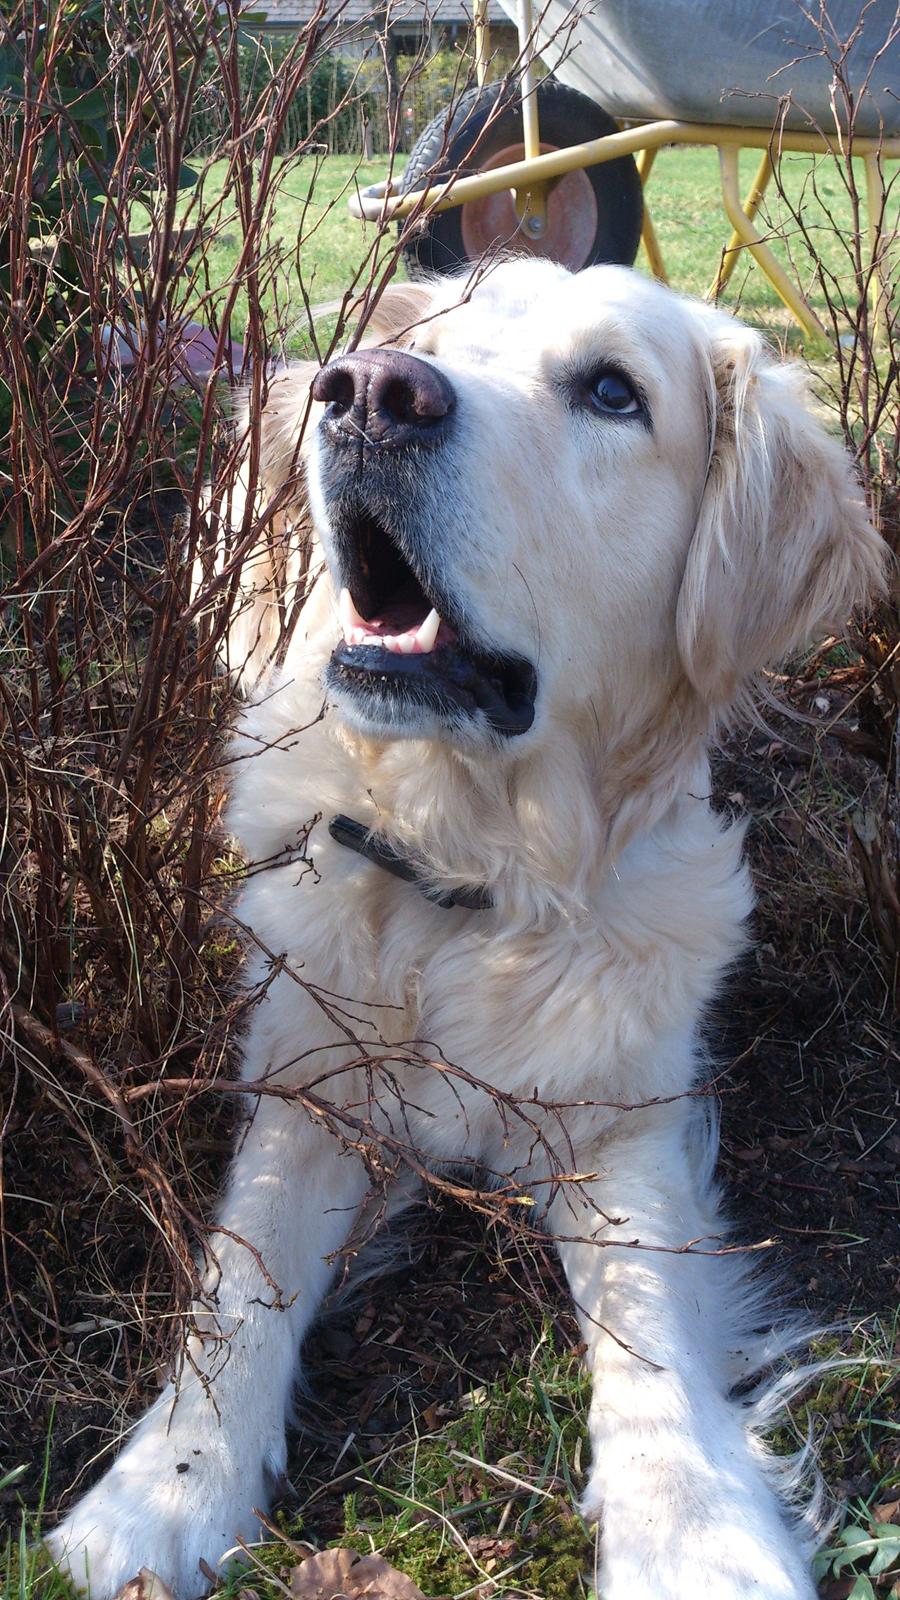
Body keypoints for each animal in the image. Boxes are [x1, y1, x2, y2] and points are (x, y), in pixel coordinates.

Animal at [49, 265, 883, 1600]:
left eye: (613, 391)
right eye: (423, 343)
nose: (368, 394)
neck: (470, 880)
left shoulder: (622, 1114)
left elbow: (649, 1324)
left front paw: (694, 1533)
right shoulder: (310, 1085)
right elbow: (237, 1278)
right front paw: (160, 1489)